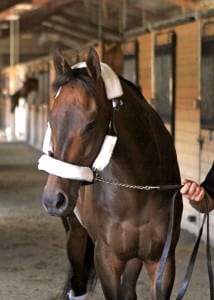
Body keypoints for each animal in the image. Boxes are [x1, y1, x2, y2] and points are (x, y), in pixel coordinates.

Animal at [39, 48, 183, 298]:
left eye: (91, 124)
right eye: (51, 120)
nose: (53, 199)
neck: (140, 192)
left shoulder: (162, 262)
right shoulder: (107, 260)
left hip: (134, 257)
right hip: (76, 235)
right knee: (78, 283)